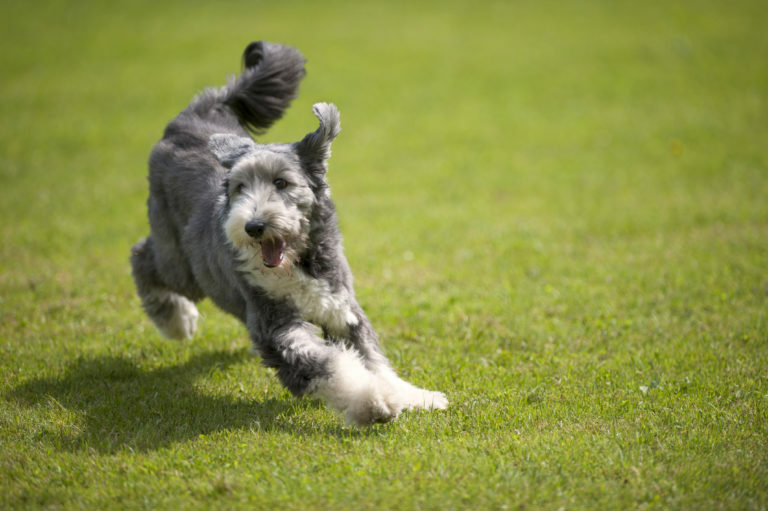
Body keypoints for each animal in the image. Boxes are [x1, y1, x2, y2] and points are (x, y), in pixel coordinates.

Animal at [129, 40, 448, 426]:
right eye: (239, 188)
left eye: (281, 183)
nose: (253, 226)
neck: (297, 264)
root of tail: (196, 113)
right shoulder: (277, 327)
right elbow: (329, 366)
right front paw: (374, 402)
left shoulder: (341, 309)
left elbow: (374, 360)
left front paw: (416, 397)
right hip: (184, 264)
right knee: (142, 255)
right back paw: (177, 321)